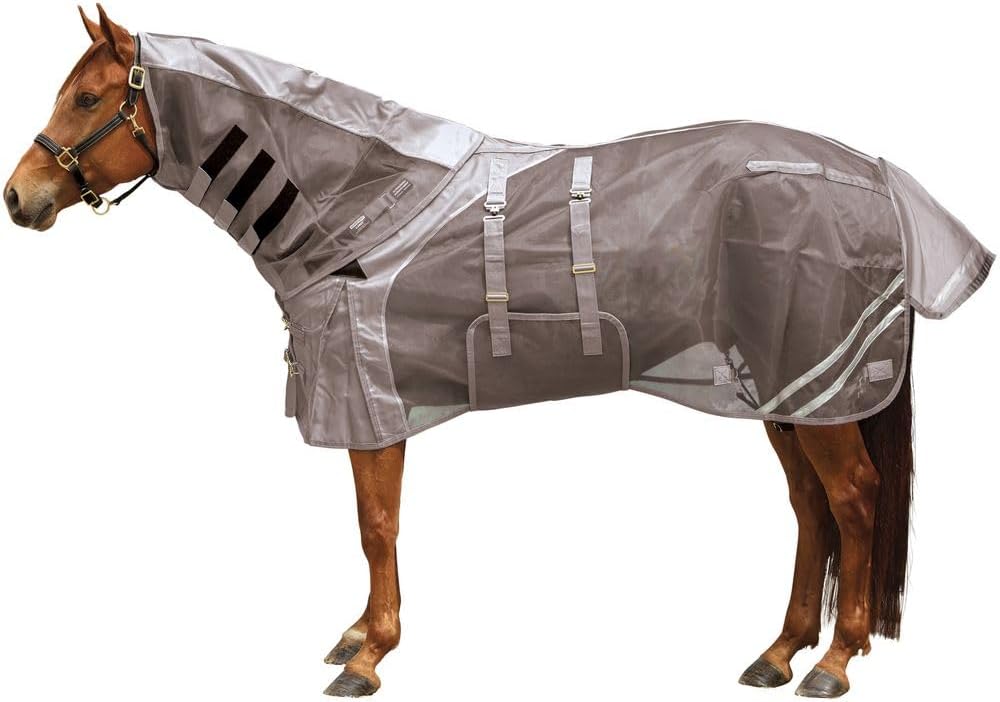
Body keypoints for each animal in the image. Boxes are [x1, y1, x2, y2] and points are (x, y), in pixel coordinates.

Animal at [4, 5, 993, 699]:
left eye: (88, 98)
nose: (19, 196)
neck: (357, 206)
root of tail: (873, 175)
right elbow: (370, 528)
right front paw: (357, 637)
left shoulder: (373, 404)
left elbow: (377, 527)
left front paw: (369, 655)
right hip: (783, 391)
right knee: (811, 509)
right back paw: (780, 650)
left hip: (812, 388)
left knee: (855, 501)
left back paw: (835, 659)